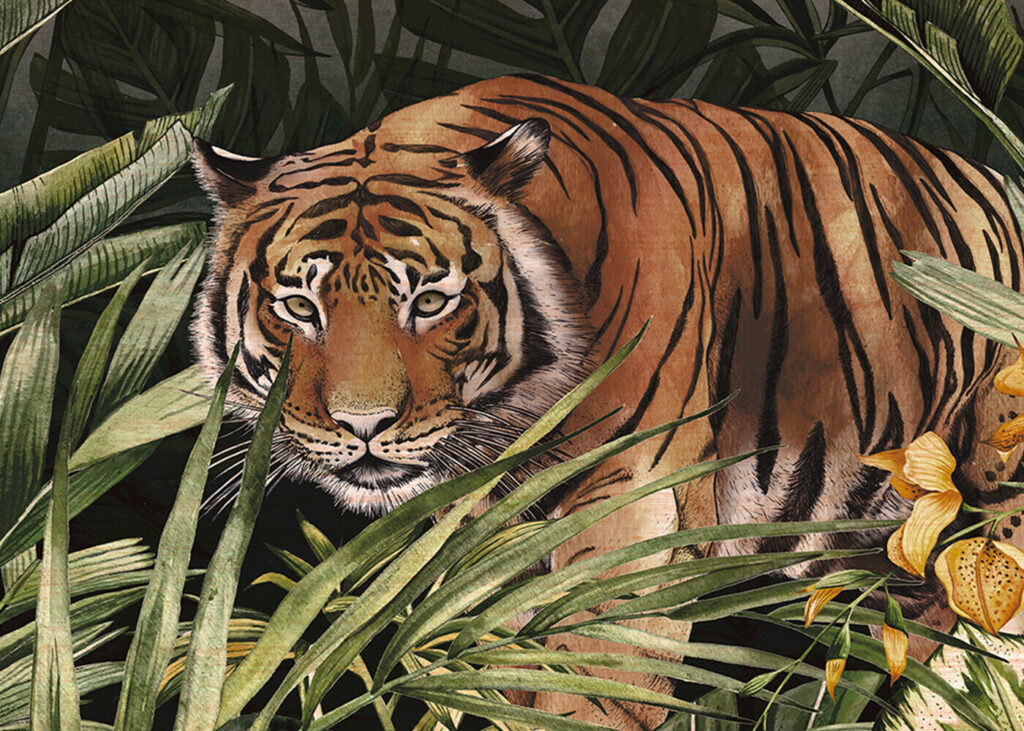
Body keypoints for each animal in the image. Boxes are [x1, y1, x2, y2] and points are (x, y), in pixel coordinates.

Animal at [191, 73, 1024, 729]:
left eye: (430, 300)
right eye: (299, 306)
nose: (363, 425)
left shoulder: (636, 504)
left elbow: (596, 682)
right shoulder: (489, 544)